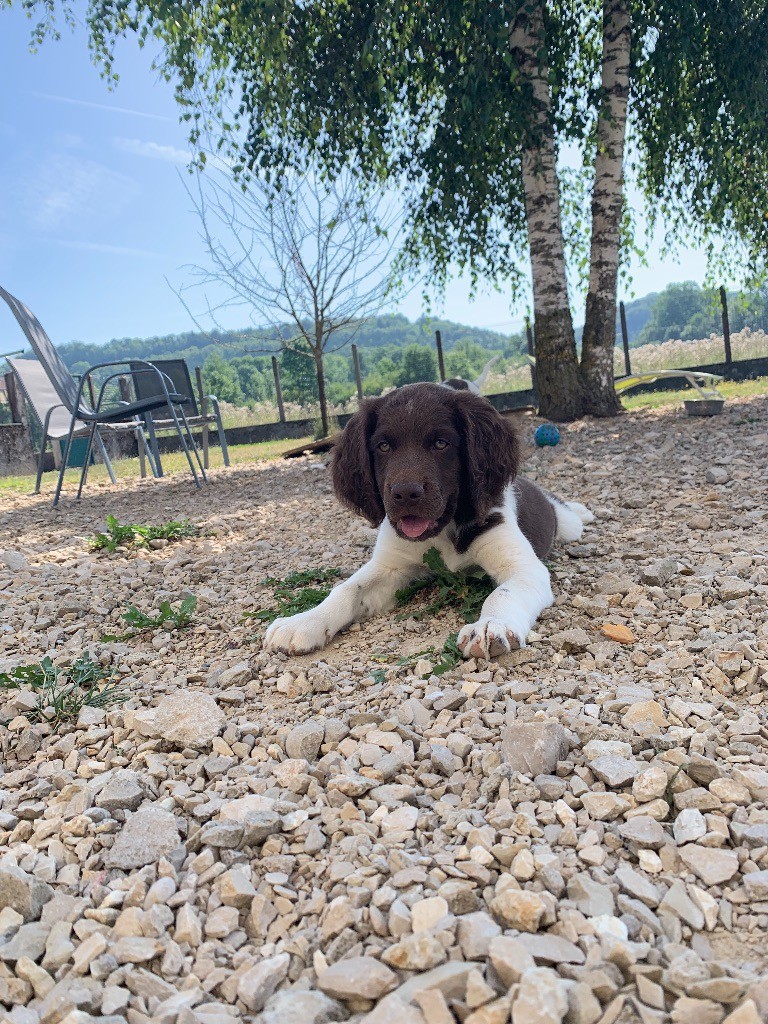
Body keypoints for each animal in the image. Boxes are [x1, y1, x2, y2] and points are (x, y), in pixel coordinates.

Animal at [264, 382, 593, 660]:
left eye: (440, 443)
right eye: (383, 447)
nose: (405, 494)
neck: (444, 530)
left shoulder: (523, 568)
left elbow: (503, 593)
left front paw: (490, 625)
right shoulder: (391, 566)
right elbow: (346, 589)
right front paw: (304, 621)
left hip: (566, 525)